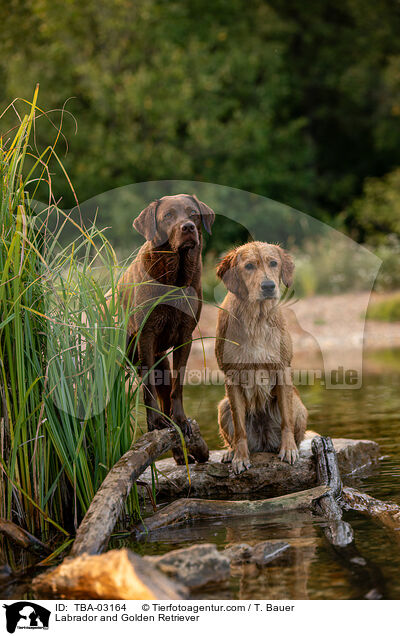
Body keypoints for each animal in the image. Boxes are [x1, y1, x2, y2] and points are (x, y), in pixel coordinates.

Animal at [114, 193, 214, 458]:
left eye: (193, 213)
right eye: (168, 216)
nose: (188, 228)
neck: (175, 277)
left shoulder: (185, 335)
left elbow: (178, 385)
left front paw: (180, 420)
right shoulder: (146, 335)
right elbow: (147, 386)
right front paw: (155, 424)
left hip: (163, 365)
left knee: (166, 394)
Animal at [216, 241, 306, 474]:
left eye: (273, 263)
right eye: (249, 266)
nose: (268, 286)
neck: (255, 318)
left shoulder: (282, 370)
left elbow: (286, 422)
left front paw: (289, 450)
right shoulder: (231, 376)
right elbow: (239, 428)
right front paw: (240, 457)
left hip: (299, 406)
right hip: (223, 405)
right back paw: (230, 453)